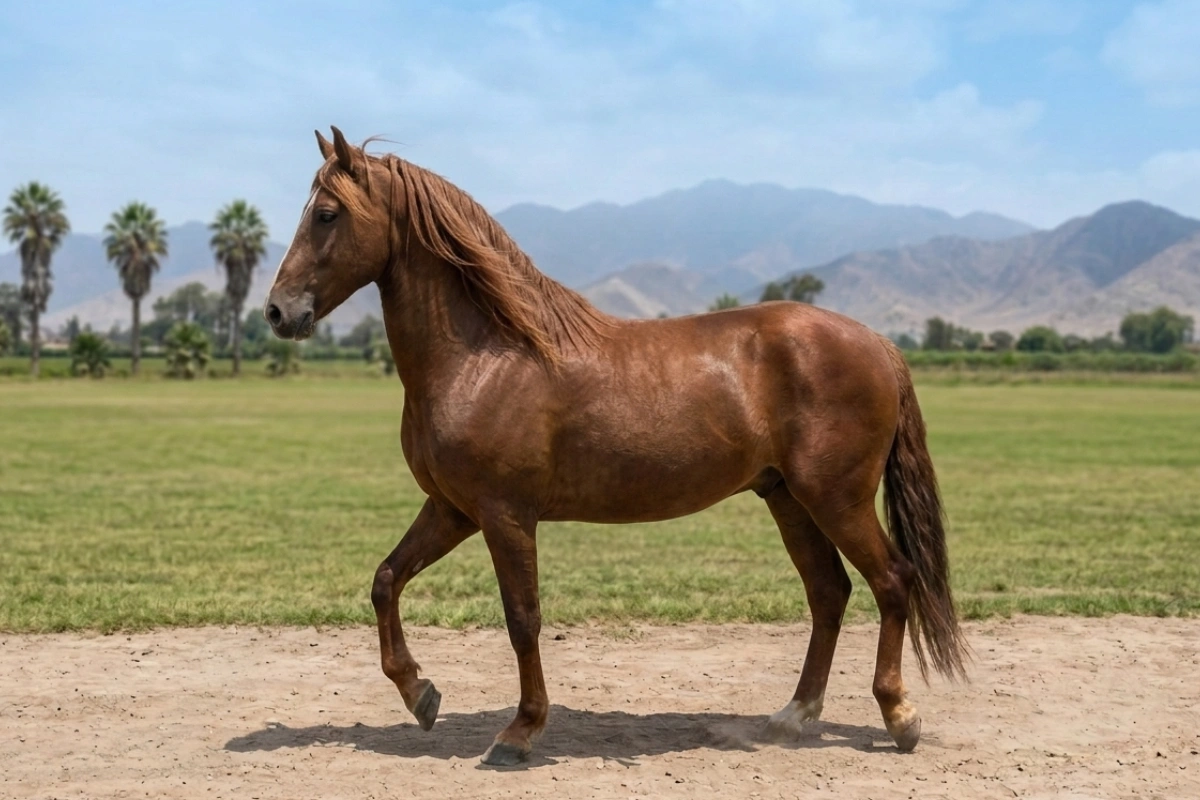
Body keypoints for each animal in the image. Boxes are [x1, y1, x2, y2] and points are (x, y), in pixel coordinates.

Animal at [265, 127, 969, 766]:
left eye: (326, 215)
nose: (276, 311)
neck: (485, 355)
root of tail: (877, 343)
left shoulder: (504, 516)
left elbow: (522, 618)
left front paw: (520, 732)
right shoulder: (454, 510)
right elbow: (386, 580)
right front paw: (421, 695)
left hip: (836, 499)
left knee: (892, 581)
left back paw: (899, 716)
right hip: (789, 499)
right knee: (829, 593)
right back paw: (792, 717)